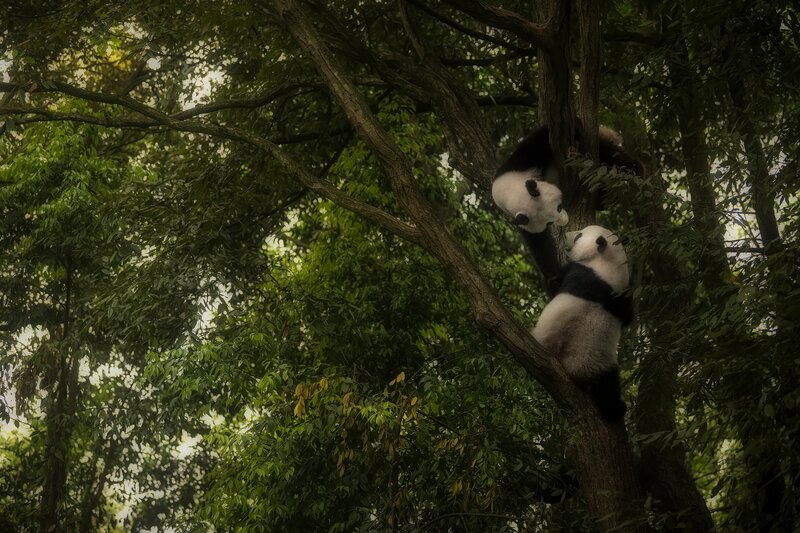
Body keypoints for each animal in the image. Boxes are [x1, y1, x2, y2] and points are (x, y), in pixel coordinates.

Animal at [531, 225, 633, 421]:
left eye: (579, 235)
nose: (565, 235)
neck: (609, 265)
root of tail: (577, 372)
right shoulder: (623, 297)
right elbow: (628, 317)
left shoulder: (579, 272)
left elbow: (554, 285)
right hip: (602, 363)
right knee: (608, 385)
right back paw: (616, 409)